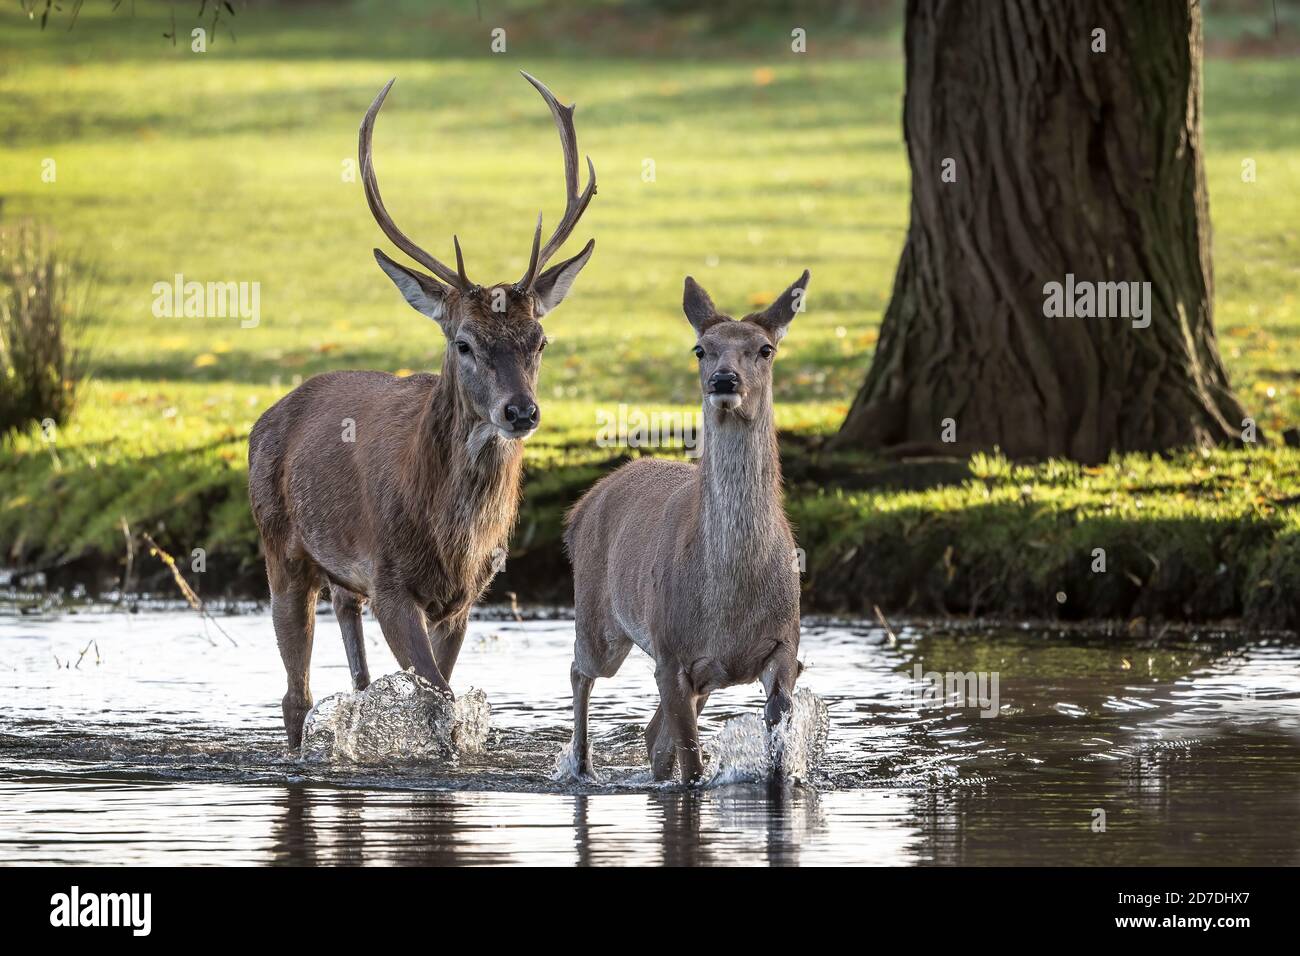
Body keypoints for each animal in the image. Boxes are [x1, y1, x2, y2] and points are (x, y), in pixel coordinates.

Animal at [248, 72, 597, 747]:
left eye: (540, 340)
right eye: (464, 342)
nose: (521, 412)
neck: (451, 535)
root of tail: (265, 418)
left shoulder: (465, 596)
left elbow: (445, 696)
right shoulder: (390, 579)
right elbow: (439, 702)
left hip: (343, 578)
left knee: (353, 668)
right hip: (280, 543)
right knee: (295, 692)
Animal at [563, 270, 810, 784]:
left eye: (765, 349)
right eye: (701, 348)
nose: (724, 379)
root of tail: (580, 508)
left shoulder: (784, 648)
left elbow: (777, 764)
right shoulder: (672, 654)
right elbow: (693, 771)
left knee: (653, 735)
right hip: (599, 618)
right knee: (581, 670)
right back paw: (581, 765)